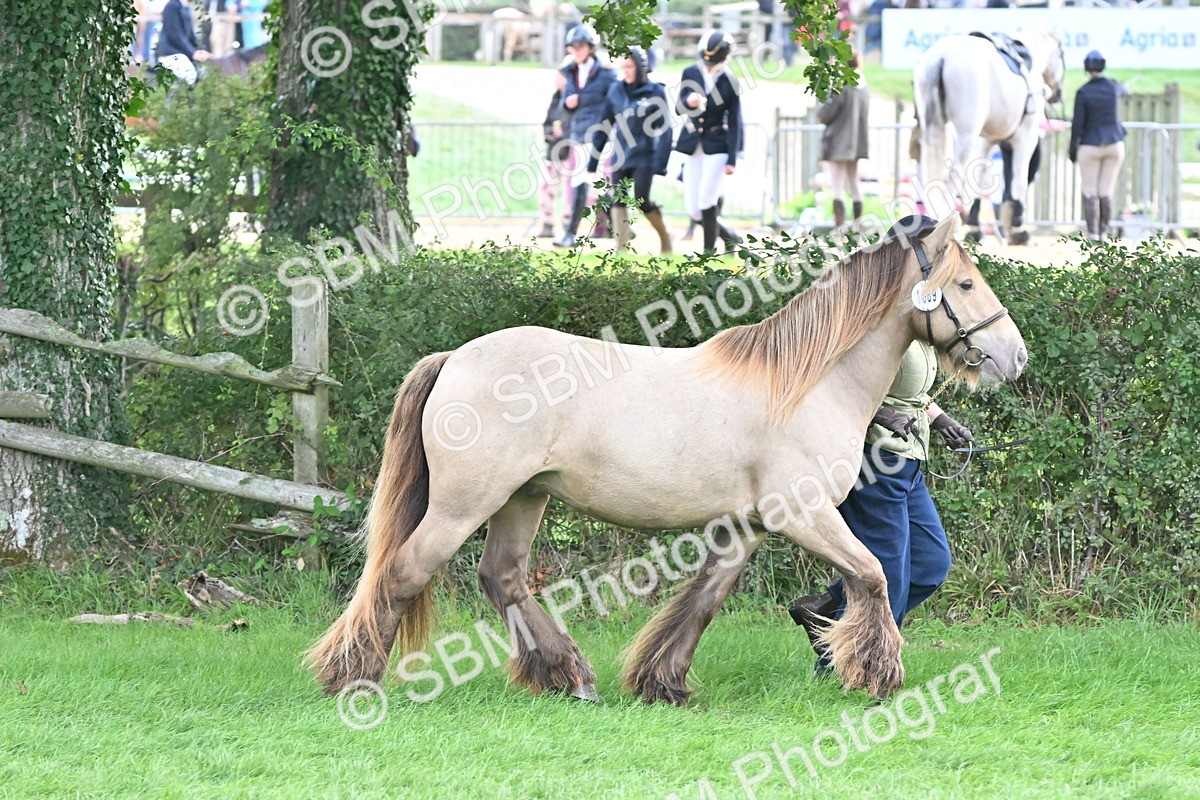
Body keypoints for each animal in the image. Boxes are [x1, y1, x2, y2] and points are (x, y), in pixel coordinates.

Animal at [306, 214, 1028, 706]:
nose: (1014, 357)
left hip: (523, 498)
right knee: (404, 572)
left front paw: (663, 682)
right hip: (464, 504)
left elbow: (704, 600)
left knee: (502, 578)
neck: (805, 383)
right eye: (966, 282)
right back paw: (357, 680)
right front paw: (878, 675)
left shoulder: (747, 526)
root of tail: (454, 358)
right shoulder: (805, 516)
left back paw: (570, 677)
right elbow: (874, 576)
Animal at [913, 31, 1064, 245]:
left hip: (932, 130)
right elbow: (1018, 181)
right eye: (1062, 55)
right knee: (953, 179)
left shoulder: (988, 140)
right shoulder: (1026, 138)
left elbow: (981, 180)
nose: (1058, 93)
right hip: (966, 136)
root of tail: (941, 58)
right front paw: (1019, 230)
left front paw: (975, 228)